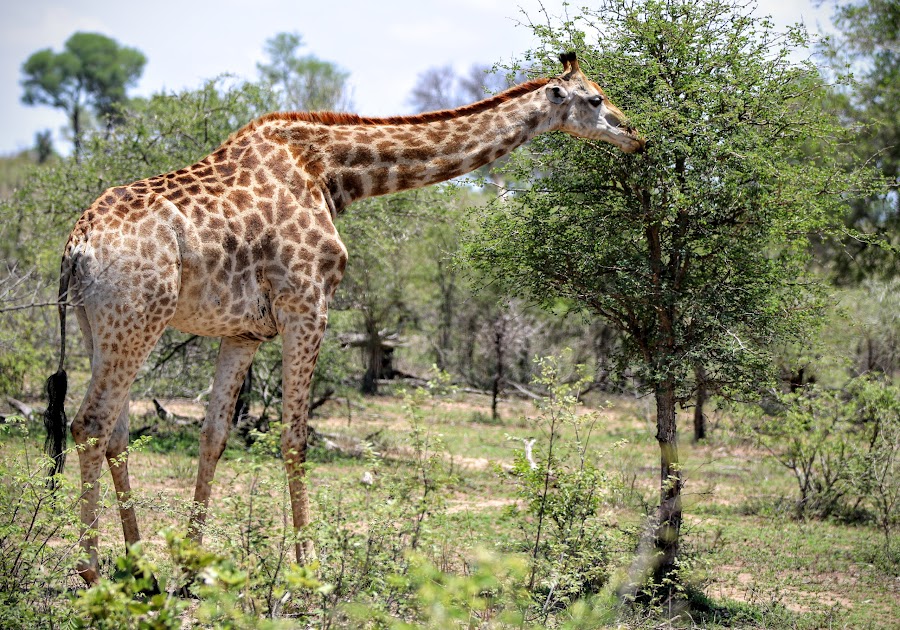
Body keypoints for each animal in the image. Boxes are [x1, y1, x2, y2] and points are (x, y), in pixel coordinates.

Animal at [45, 51, 644, 584]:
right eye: (596, 98)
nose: (636, 135)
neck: (332, 175)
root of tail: (77, 247)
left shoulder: (243, 331)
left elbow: (215, 435)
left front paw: (192, 567)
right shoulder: (307, 304)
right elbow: (295, 438)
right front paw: (308, 569)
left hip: (99, 326)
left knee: (115, 432)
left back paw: (137, 562)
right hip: (137, 319)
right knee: (90, 424)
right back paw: (91, 569)